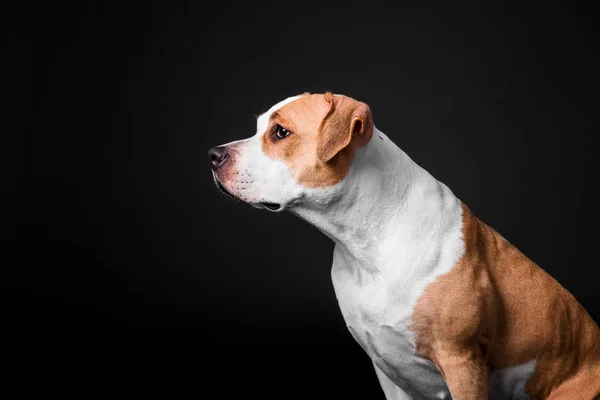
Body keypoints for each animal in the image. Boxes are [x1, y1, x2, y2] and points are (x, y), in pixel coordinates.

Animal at [207, 92, 600, 398]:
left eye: (281, 132)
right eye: (259, 128)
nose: (213, 154)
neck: (365, 242)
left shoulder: (462, 362)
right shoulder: (387, 370)